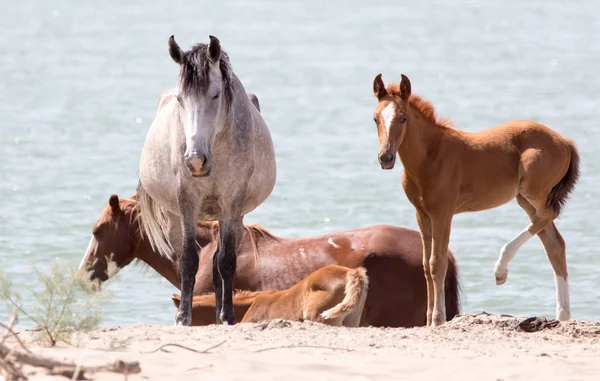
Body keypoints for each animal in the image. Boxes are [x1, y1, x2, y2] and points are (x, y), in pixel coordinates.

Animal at [138, 35, 276, 326]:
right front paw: (183, 317)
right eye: (180, 98)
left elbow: (226, 261)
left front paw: (227, 315)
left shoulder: (233, 202)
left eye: (215, 94)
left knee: (217, 261)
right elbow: (189, 260)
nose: (195, 160)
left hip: (232, 216)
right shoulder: (186, 201)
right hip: (174, 216)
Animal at [372, 73, 580, 324]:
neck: (430, 157)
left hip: (533, 191)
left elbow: (437, 263)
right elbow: (425, 265)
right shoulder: (422, 214)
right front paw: (429, 320)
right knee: (553, 243)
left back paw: (500, 270)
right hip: (524, 199)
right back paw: (563, 315)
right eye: (375, 119)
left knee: (549, 216)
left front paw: (438, 319)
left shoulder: (443, 213)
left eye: (403, 118)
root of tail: (565, 141)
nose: (386, 158)